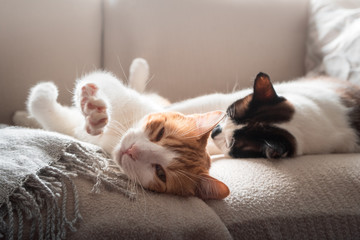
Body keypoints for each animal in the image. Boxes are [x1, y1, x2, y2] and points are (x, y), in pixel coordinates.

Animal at [26, 58, 228, 201]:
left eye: (160, 173)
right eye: (160, 133)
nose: (133, 150)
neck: (115, 135)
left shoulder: (69, 127)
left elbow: (44, 109)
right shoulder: (120, 95)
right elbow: (100, 81)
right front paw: (93, 110)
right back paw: (139, 66)